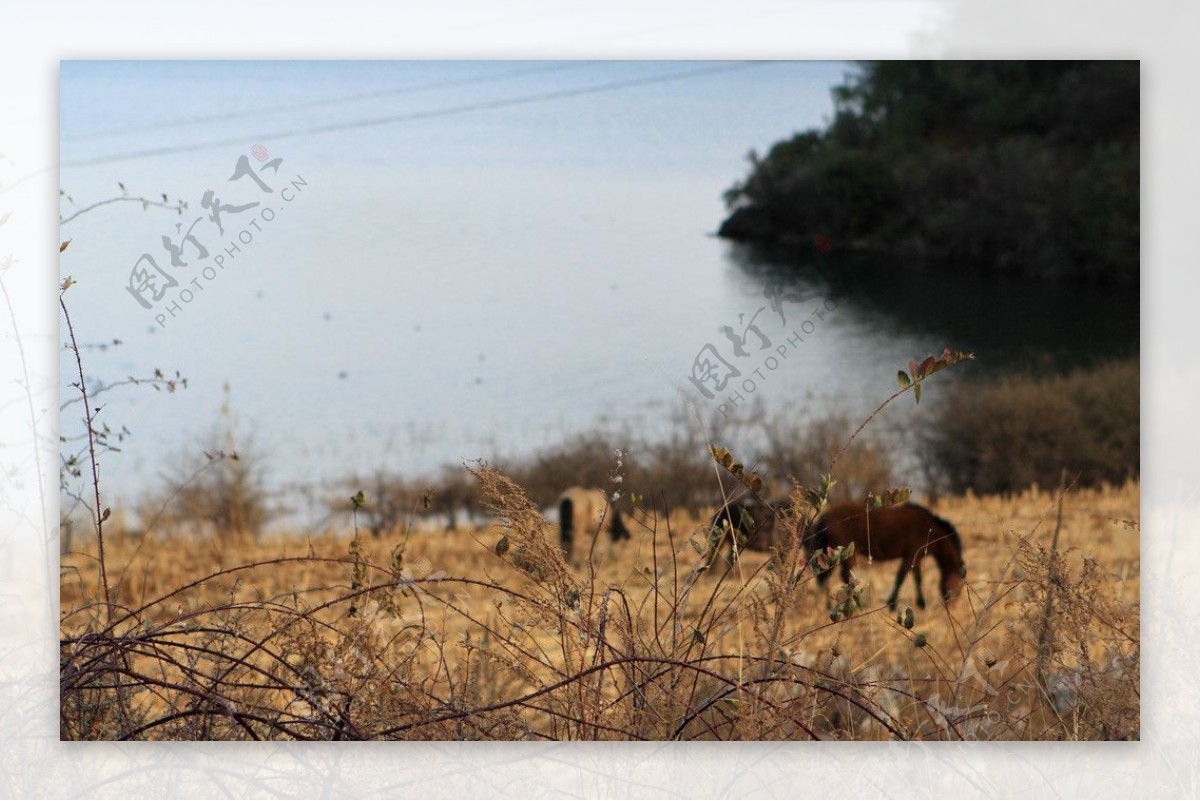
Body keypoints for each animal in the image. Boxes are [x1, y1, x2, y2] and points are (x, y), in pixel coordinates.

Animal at [806, 503, 964, 609]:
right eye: (957, 588)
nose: (952, 607)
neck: (928, 527)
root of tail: (824, 518)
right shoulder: (910, 556)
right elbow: (901, 577)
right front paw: (892, 604)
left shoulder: (916, 558)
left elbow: (917, 579)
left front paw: (920, 603)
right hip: (845, 555)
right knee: (845, 577)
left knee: (825, 578)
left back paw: (829, 605)